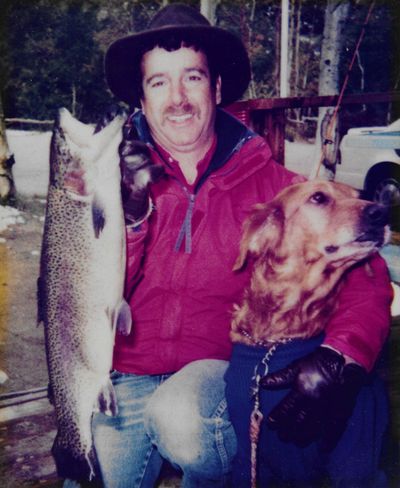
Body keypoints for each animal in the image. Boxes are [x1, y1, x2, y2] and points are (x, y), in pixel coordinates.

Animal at [225, 180, 390, 488]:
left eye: (361, 195)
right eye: (318, 197)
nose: (382, 212)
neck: (275, 342)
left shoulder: (355, 460)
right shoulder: (247, 453)